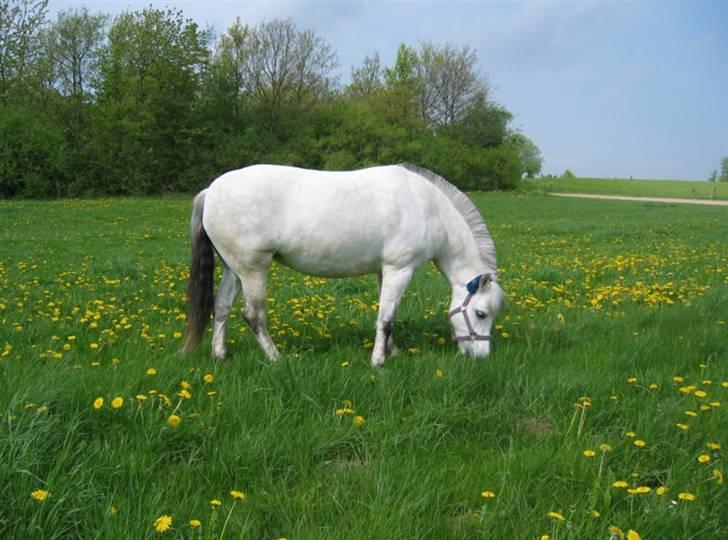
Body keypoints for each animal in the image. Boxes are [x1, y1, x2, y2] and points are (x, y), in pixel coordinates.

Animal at [181, 163, 506, 368]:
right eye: (480, 313)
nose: (481, 357)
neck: (429, 209)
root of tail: (211, 191)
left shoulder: (385, 270)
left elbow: (388, 316)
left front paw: (393, 352)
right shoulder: (399, 270)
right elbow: (386, 320)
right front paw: (378, 362)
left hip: (234, 268)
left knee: (221, 306)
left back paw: (220, 355)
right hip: (253, 269)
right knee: (253, 315)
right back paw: (275, 358)